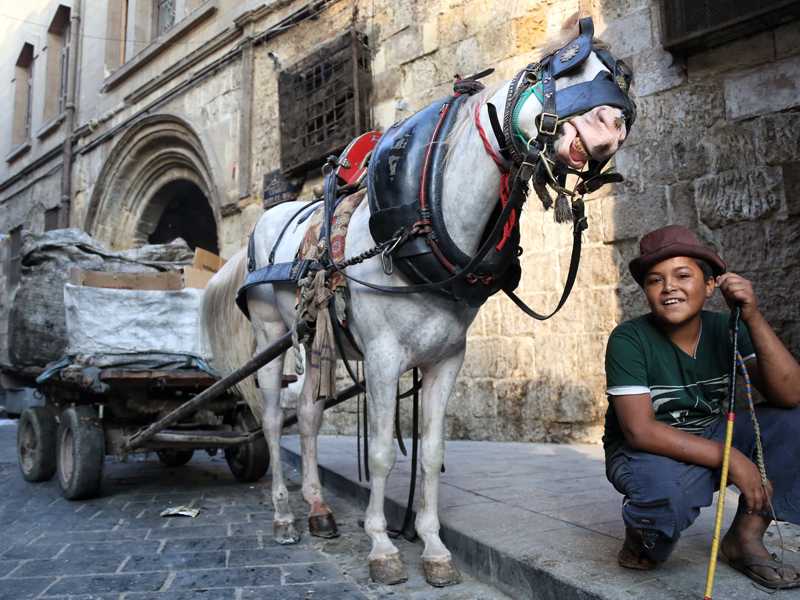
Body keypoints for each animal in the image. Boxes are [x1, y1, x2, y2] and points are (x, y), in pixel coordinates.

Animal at [201, 17, 635, 587]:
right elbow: (384, 453)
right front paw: (383, 547)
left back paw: (318, 511)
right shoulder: (384, 359)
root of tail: (261, 228)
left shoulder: (447, 358)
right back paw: (283, 518)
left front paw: (431, 547)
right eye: (556, 70)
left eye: (617, 77)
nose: (611, 126)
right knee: (274, 421)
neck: (423, 224)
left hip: (316, 341)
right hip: (271, 336)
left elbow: (429, 453)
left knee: (311, 417)